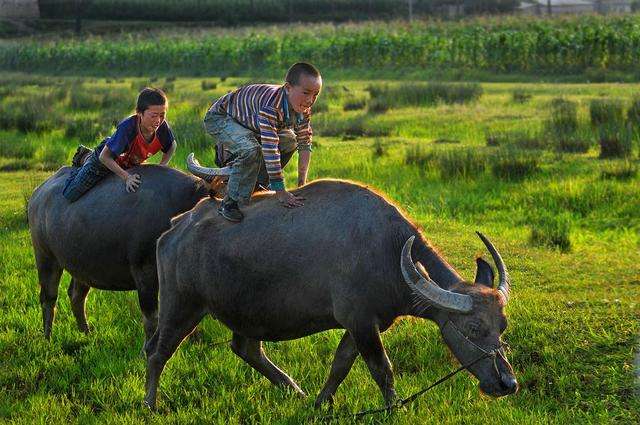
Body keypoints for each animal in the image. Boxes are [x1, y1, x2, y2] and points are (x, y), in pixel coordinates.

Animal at [28, 164, 208, 342]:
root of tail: (38, 193)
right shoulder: (144, 273)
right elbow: (152, 320)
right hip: (45, 257)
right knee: (48, 297)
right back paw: (48, 338)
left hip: (81, 263)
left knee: (76, 295)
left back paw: (86, 333)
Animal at [142, 176, 516, 408]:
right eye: (473, 328)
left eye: (502, 327)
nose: (507, 384)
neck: (389, 251)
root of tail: (177, 226)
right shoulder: (362, 322)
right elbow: (382, 370)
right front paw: (395, 408)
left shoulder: (361, 324)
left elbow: (340, 364)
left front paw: (322, 402)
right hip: (181, 306)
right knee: (157, 352)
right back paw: (150, 404)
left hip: (246, 314)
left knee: (246, 349)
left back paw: (296, 392)